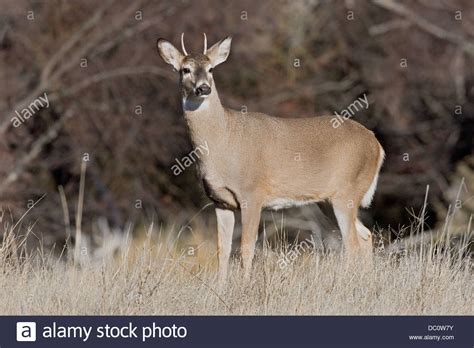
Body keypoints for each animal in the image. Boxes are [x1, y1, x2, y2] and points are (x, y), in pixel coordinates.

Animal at [156, 33, 386, 282]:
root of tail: (376, 145)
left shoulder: (252, 193)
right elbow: (222, 249)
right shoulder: (220, 201)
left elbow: (247, 247)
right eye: (185, 70)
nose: (204, 88)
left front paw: (245, 285)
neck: (223, 141)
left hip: (347, 190)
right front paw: (220, 287)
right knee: (365, 235)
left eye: (211, 69)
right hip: (329, 198)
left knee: (352, 243)